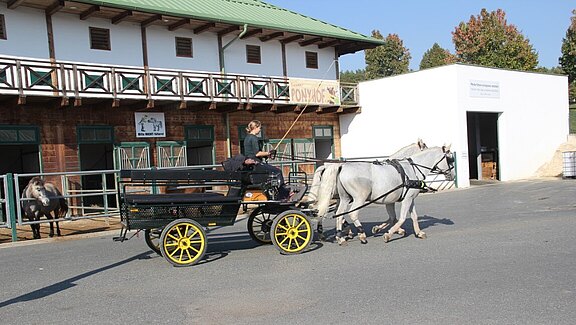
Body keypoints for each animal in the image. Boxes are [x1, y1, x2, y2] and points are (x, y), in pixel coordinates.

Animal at [316, 146, 454, 244]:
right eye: (449, 159)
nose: (452, 176)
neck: (411, 170)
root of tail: (342, 166)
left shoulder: (400, 199)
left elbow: (405, 217)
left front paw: (418, 233)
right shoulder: (407, 199)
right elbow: (401, 218)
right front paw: (389, 234)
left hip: (344, 198)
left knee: (339, 215)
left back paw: (340, 237)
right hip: (359, 198)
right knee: (352, 214)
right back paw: (361, 234)